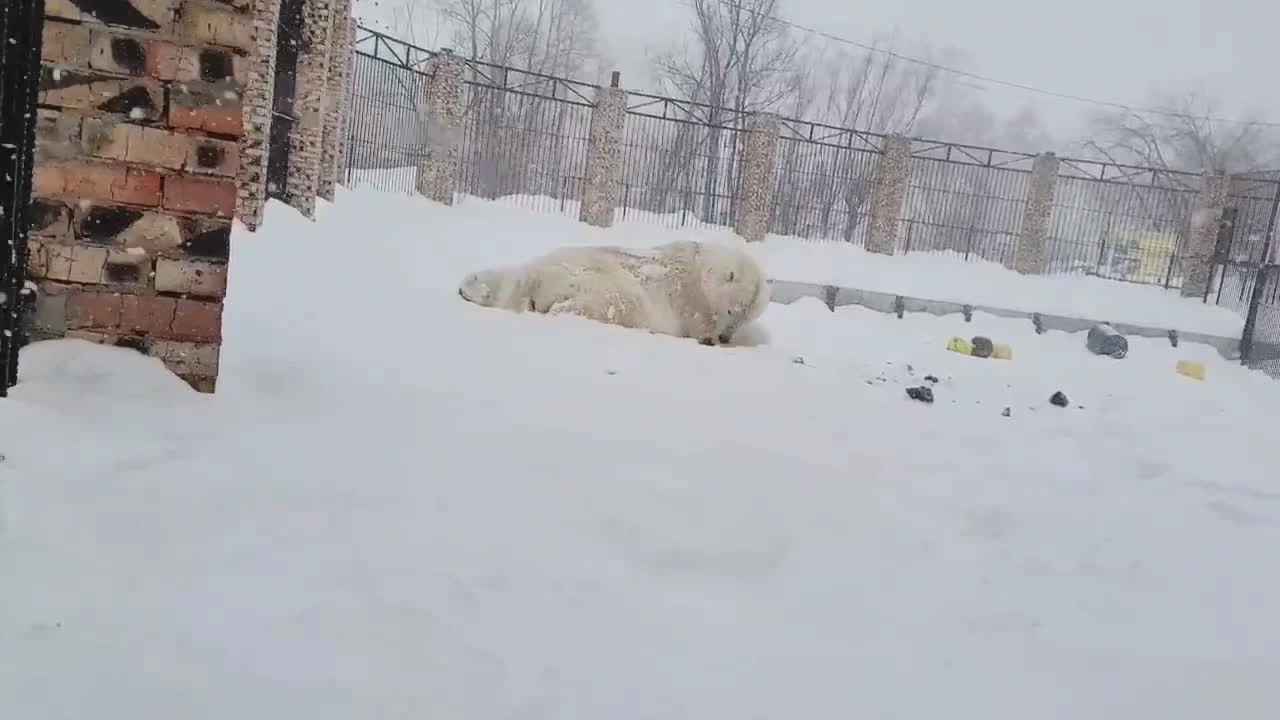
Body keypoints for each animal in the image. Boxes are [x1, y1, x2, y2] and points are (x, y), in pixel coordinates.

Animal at [460, 238, 768, 345]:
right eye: (731, 310)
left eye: (744, 317)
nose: (725, 338)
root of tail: (537, 281)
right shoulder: (688, 296)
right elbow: (697, 321)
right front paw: (708, 338)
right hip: (602, 283)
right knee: (614, 305)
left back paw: (471, 285)